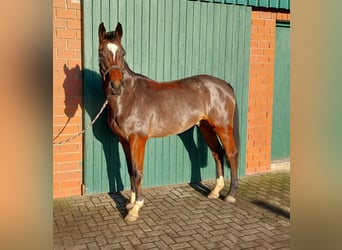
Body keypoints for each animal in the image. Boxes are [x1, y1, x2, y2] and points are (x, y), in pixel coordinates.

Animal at [97, 21, 239, 221]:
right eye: (101, 53)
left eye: (123, 53)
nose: (116, 86)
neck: (129, 98)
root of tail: (224, 85)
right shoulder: (124, 140)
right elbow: (130, 170)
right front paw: (130, 203)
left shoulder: (138, 139)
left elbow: (137, 171)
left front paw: (135, 209)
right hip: (206, 127)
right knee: (218, 153)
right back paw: (215, 191)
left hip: (223, 127)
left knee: (231, 154)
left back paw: (231, 194)